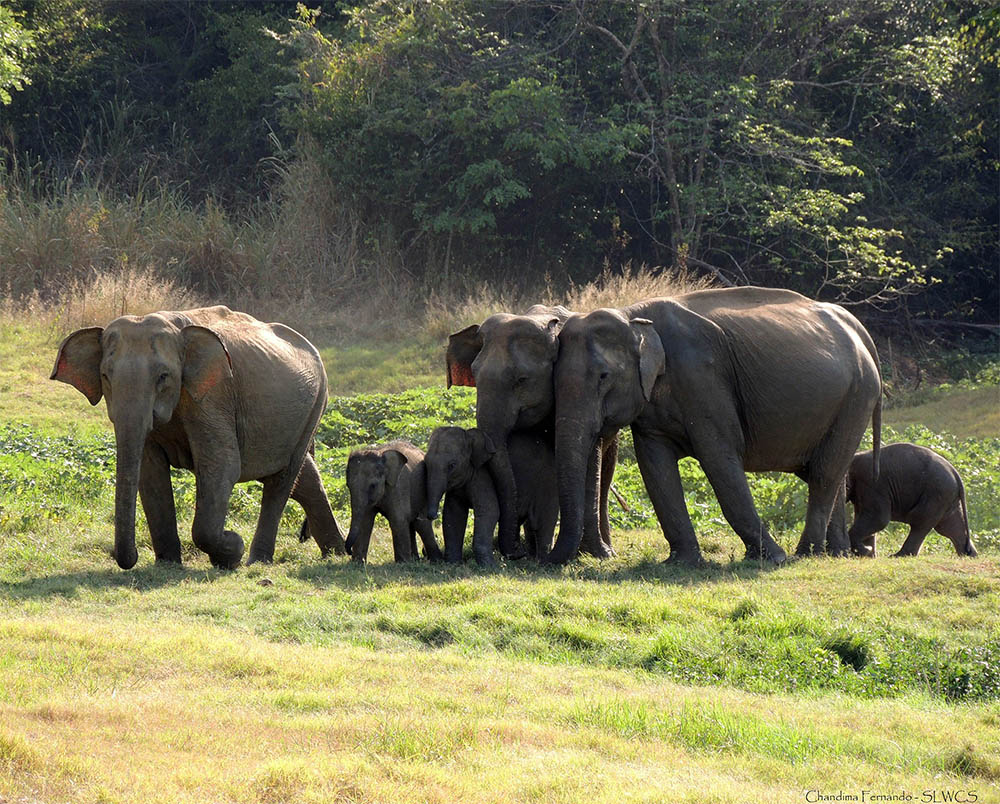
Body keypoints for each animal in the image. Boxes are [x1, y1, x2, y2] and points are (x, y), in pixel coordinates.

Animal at [51, 304, 348, 568]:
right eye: (105, 376)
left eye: (163, 376)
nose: (129, 558)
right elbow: (150, 472)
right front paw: (167, 564)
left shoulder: (212, 396)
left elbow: (222, 465)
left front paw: (231, 549)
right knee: (304, 477)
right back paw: (337, 554)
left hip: (316, 404)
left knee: (282, 480)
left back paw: (257, 561)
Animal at [424, 428, 564, 564]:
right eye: (425, 463)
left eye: (452, 465)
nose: (432, 516)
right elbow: (453, 514)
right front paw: (453, 564)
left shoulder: (483, 477)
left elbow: (489, 512)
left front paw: (488, 566)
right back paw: (530, 557)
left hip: (547, 481)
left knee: (541, 521)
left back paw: (541, 562)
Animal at [446, 304, 616, 564]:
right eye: (474, 374)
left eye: (521, 380)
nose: (516, 552)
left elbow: (591, 461)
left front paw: (596, 554)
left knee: (605, 472)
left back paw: (606, 549)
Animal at [548, 288, 884, 564]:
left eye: (603, 376)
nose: (550, 560)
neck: (633, 314)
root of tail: (857, 327)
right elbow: (655, 466)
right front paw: (682, 563)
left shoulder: (703, 379)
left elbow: (719, 457)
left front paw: (773, 559)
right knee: (827, 471)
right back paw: (836, 553)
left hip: (858, 395)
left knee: (824, 473)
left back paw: (805, 555)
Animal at [844, 442, 976, 556]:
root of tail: (955, 473)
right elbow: (863, 515)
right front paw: (868, 554)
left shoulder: (871, 484)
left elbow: (879, 519)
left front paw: (865, 551)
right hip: (946, 496)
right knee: (948, 526)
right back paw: (969, 555)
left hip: (937, 492)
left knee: (920, 521)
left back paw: (898, 556)